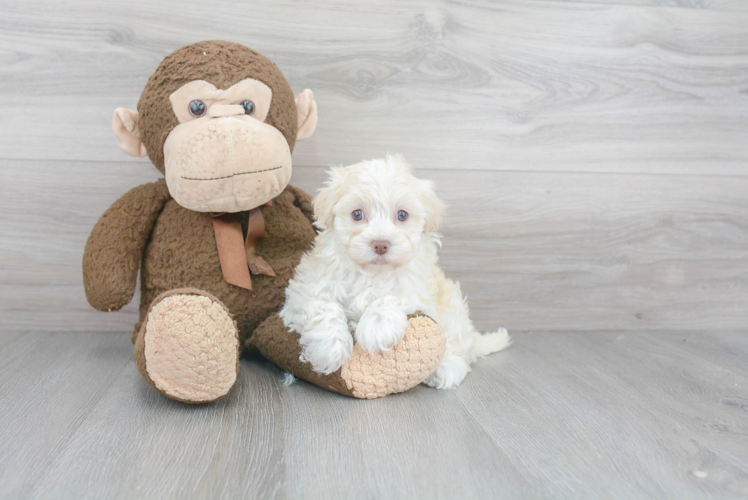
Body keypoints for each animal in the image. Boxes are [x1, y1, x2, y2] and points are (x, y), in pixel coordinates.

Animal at [278, 154, 512, 388]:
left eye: (402, 215)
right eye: (357, 214)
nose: (381, 244)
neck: (372, 273)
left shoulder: (418, 289)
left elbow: (392, 296)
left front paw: (377, 327)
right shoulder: (306, 288)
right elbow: (322, 307)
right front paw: (328, 349)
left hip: (453, 311)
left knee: (457, 342)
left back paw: (446, 368)